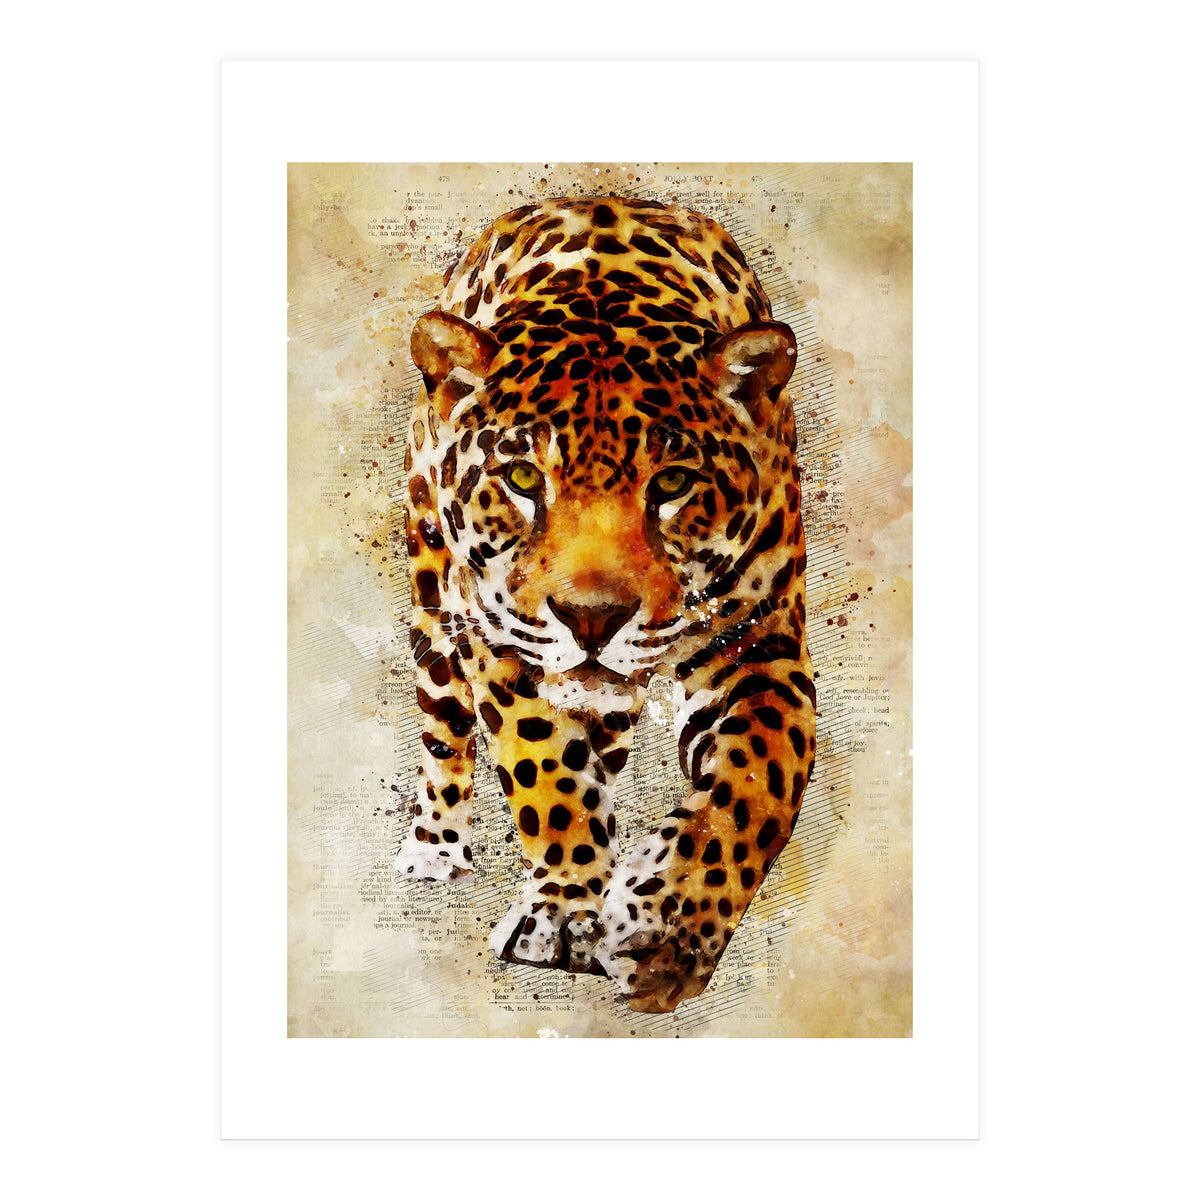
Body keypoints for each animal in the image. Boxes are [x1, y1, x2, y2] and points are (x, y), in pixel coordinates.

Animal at [395, 196, 816, 1013]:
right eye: (523, 478)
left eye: (674, 482)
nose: (591, 618)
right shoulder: (503, 639)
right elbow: (544, 768)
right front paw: (564, 912)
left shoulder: (762, 643)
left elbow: (759, 781)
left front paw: (666, 930)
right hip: (435, 600)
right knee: (444, 728)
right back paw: (435, 847)